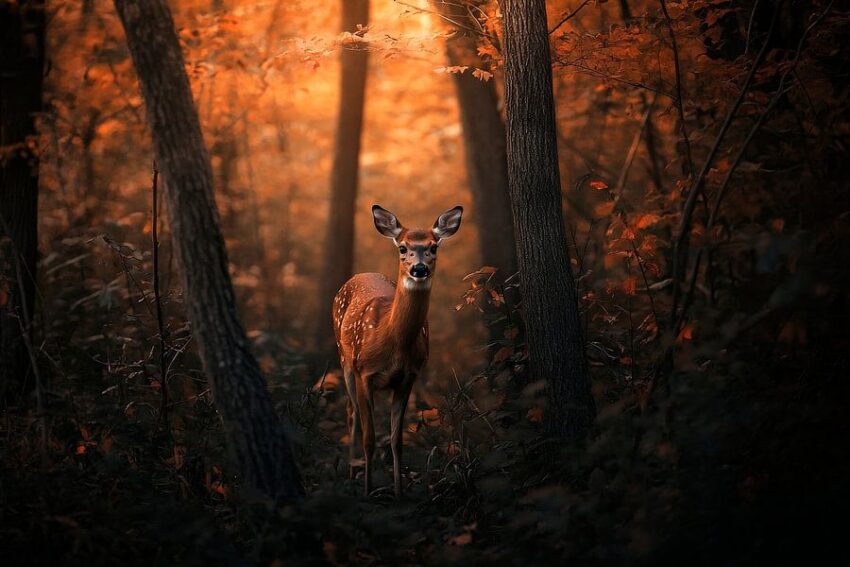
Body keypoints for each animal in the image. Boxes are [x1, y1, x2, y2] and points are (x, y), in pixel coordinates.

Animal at [332, 204, 464, 496]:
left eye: (433, 247)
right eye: (403, 247)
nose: (419, 268)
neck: (393, 344)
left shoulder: (409, 376)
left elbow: (396, 440)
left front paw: (398, 491)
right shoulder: (364, 373)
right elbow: (370, 438)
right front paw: (369, 491)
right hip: (345, 359)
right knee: (351, 411)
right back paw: (351, 472)